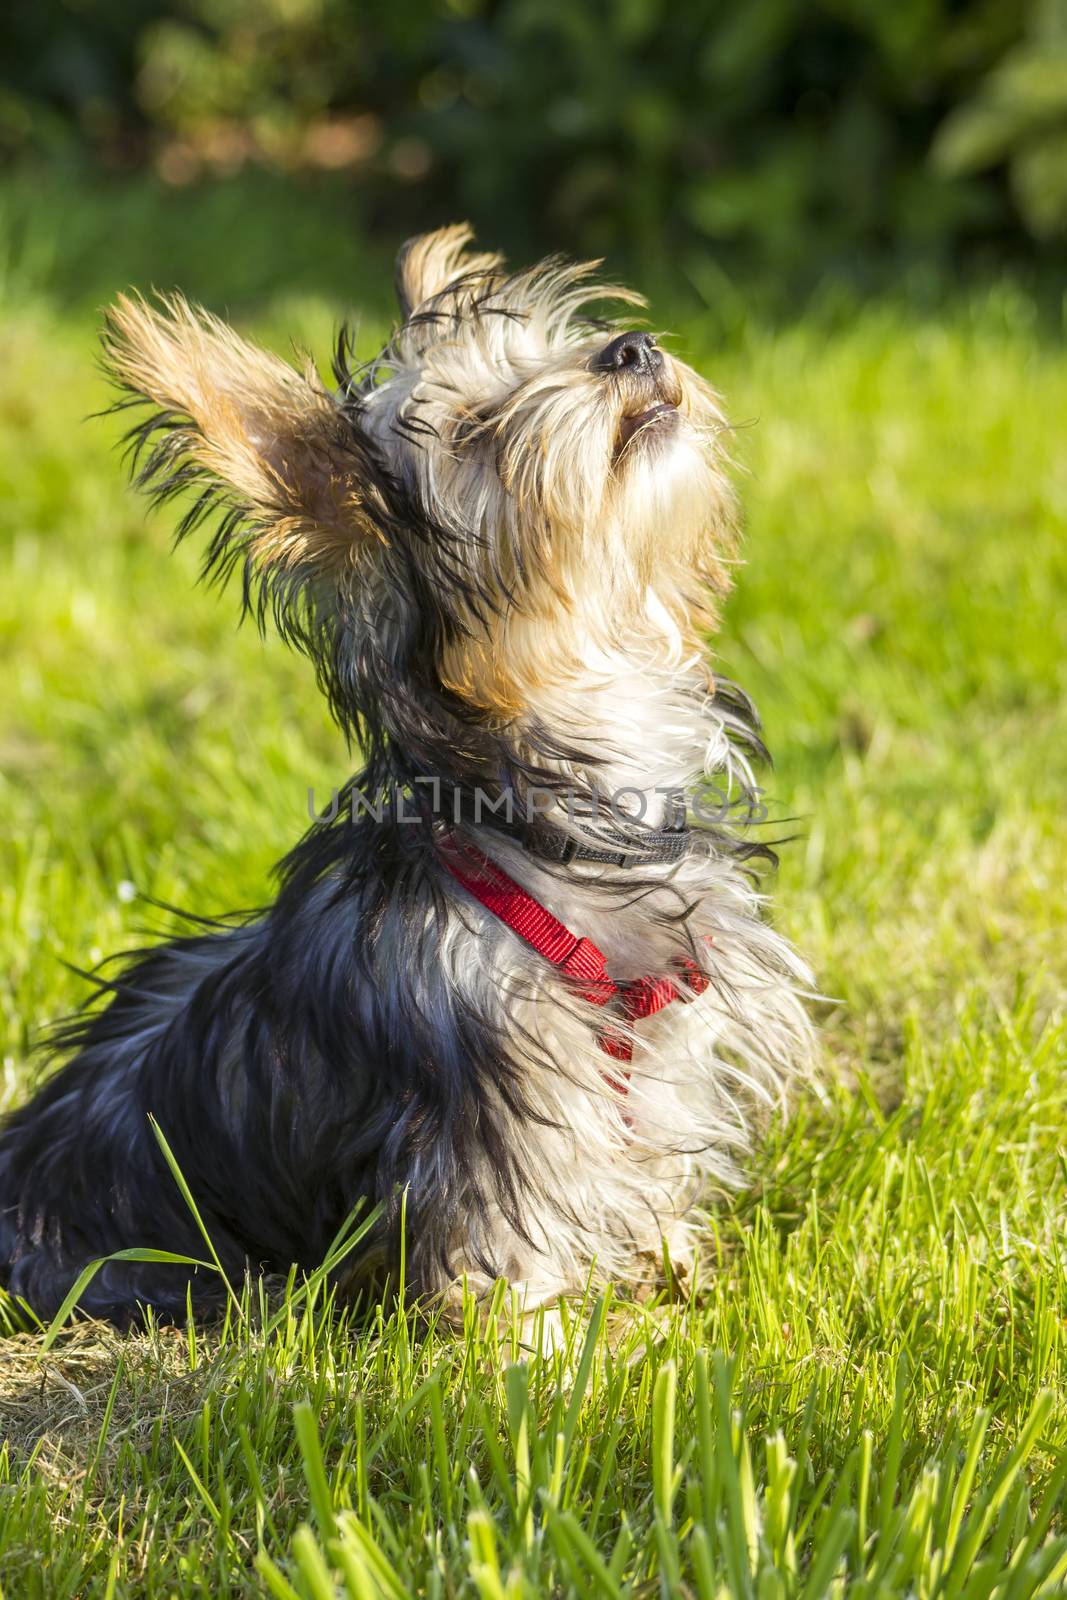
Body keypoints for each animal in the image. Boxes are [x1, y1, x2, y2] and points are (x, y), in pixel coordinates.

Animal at [2, 225, 819, 1324]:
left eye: (565, 348)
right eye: (473, 431)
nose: (630, 349)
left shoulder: (654, 1050)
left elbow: (643, 1151)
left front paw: (669, 1257)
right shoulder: (485, 1111)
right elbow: (506, 1245)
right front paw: (546, 1351)